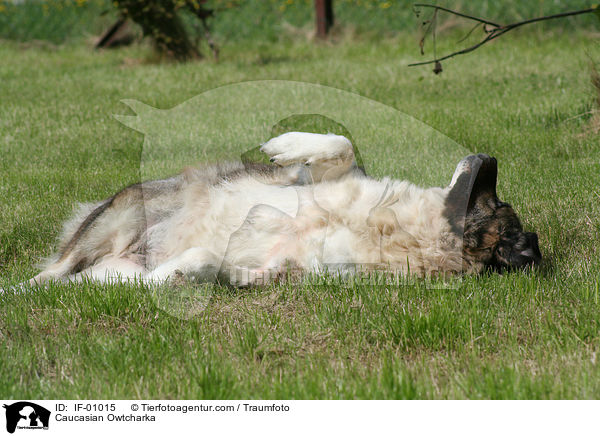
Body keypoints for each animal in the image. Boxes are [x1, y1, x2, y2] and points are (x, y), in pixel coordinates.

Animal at [21, 132, 540, 290]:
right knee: (46, 275)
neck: (397, 232)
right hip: (116, 218)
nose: (488, 155)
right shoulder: (325, 180)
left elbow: (213, 261)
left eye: (495, 202)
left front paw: (184, 275)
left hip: (112, 273)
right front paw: (284, 145)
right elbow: (339, 144)